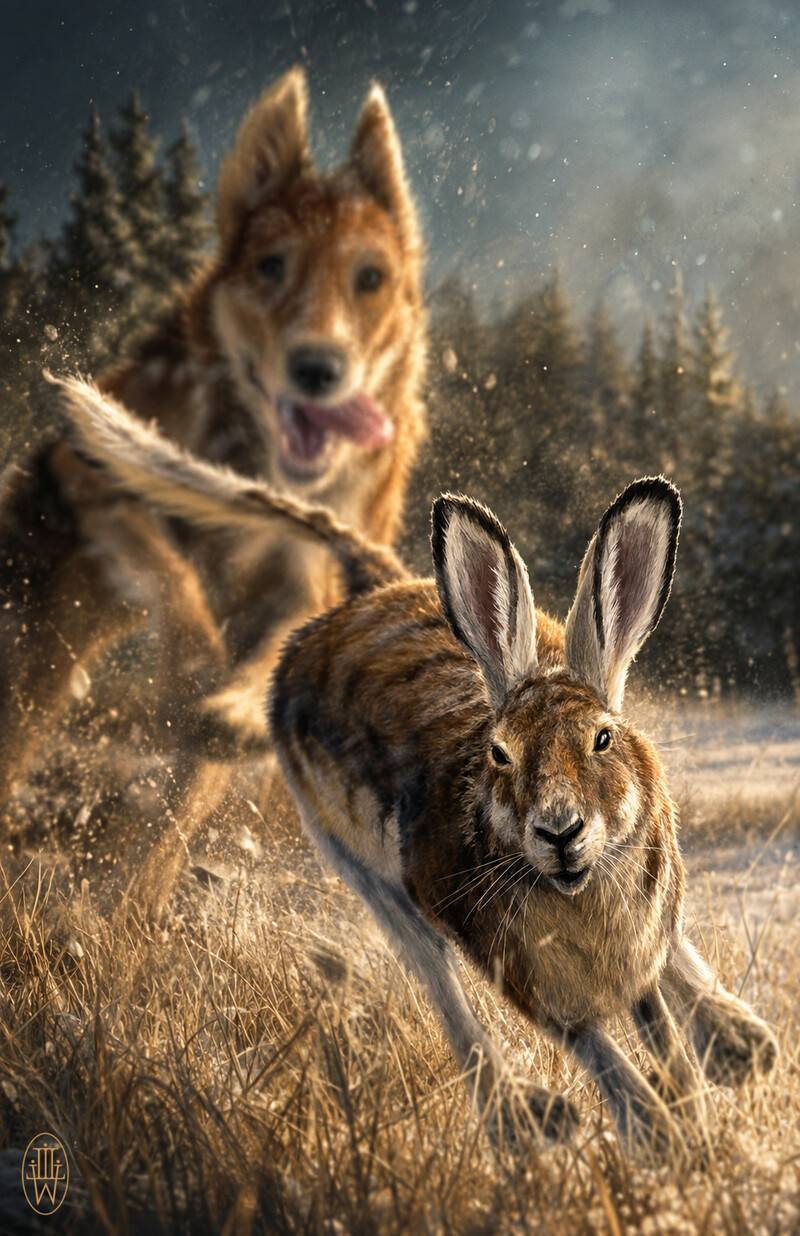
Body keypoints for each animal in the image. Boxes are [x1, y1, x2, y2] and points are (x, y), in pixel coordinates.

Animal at [58, 376, 778, 1155]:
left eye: (603, 740)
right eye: (499, 752)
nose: (560, 831)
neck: (577, 892)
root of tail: (369, 593)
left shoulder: (637, 948)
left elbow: (659, 1027)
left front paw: (693, 1128)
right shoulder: (525, 978)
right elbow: (600, 1049)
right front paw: (663, 1138)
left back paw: (742, 1045)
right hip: (368, 874)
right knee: (439, 984)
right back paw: (525, 1122)